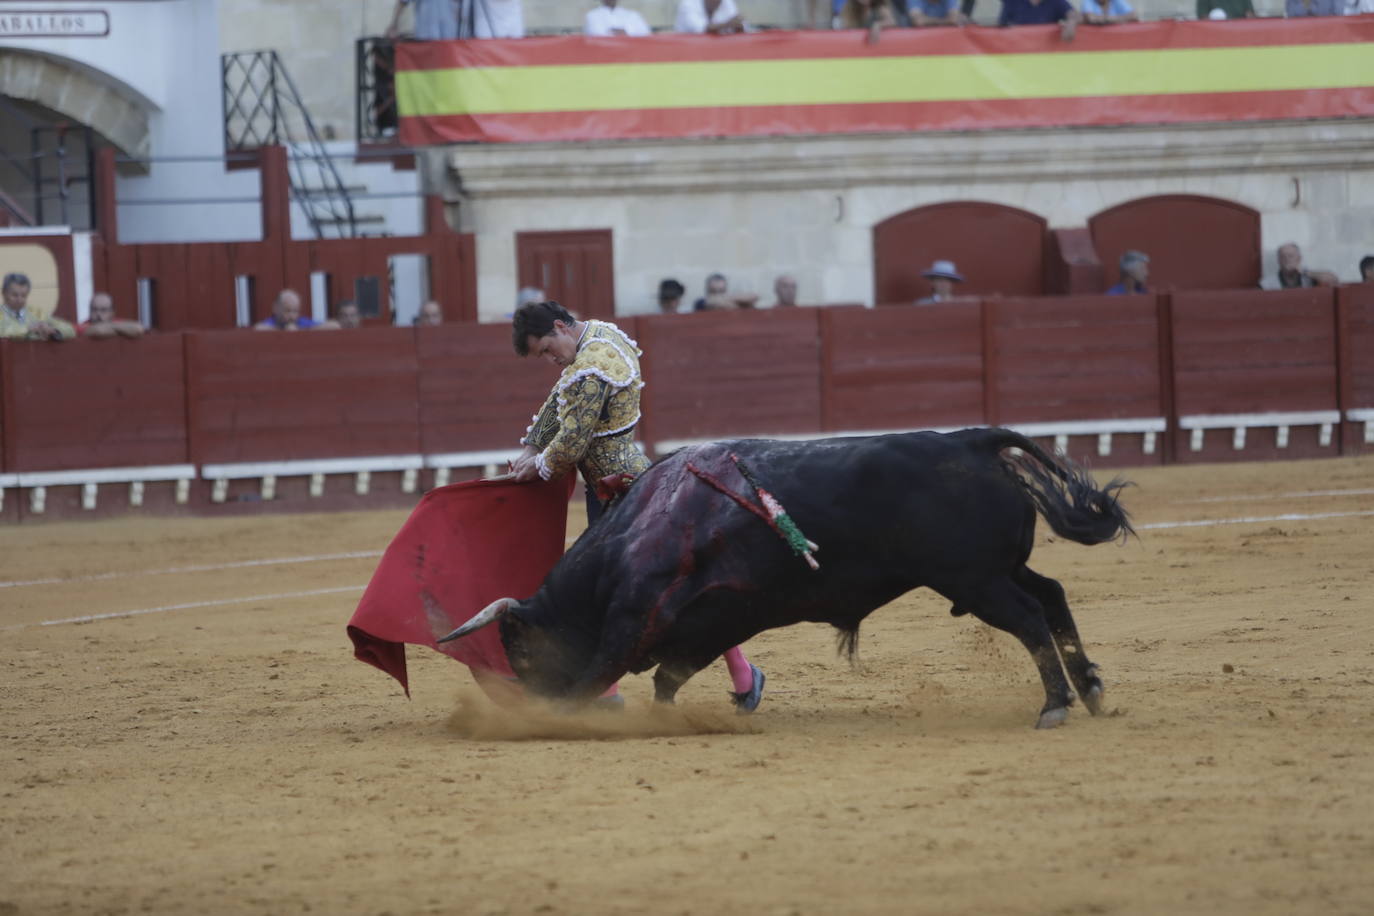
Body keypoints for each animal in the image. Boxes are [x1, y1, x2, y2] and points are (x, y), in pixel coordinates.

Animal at [445, 431, 1132, 730]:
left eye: (519, 649)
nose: (522, 700)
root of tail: (972, 440)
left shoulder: (633, 620)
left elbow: (598, 674)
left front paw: (559, 717)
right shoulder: (713, 621)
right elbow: (670, 676)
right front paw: (673, 716)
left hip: (975, 580)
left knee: (1030, 618)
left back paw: (1054, 705)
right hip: (998, 571)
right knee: (1052, 597)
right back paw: (1092, 689)